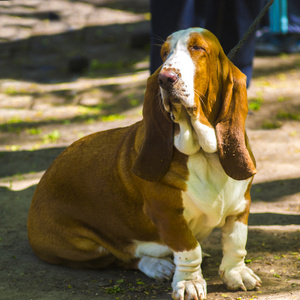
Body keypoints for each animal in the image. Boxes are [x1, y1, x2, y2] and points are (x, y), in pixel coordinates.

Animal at [28, 28, 262, 300]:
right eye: (164, 53)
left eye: (198, 48)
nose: (166, 78)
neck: (202, 152)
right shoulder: (168, 214)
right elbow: (189, 249)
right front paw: (189, 283)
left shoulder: (241, 205)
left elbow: (236, 242)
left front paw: (237, 273)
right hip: (83, 247)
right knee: (122, 257)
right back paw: (159, 265)